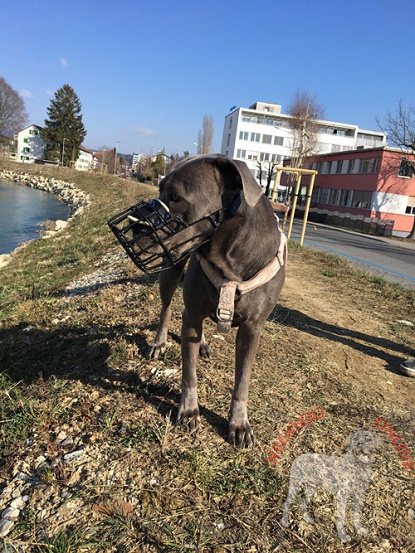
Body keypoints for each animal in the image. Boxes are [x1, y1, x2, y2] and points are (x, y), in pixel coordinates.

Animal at [110, 153, 286, 446]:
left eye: (175, 196)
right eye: (159, 189)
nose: (134, 225)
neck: (229, 260)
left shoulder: (252, 329)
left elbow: (243, 380)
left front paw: (239, 423)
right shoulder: (191, 314)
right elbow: (189, 372)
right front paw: (189, 410)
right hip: (170, 273)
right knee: (167, 308)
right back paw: (159, 342)